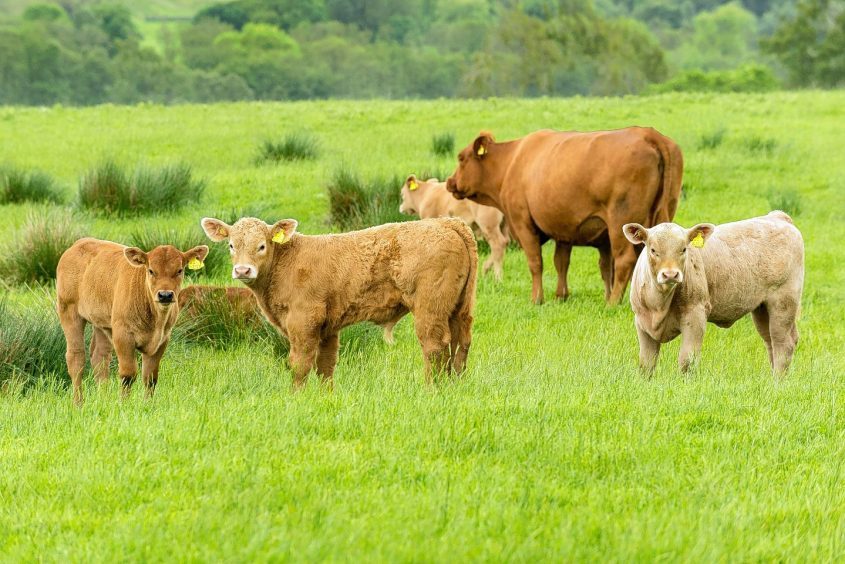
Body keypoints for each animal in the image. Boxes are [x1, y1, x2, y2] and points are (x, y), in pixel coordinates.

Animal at [56, 236, 208, 404]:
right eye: (151, 270)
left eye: (179, 270)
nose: (165, 295)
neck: (156, 320)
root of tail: (78, 243)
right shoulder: (123, 335)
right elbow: (128, 375)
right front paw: (124, 403)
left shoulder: (163, 339)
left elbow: (150, 377)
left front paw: (148, 404)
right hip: (68, 311)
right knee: (76, 358)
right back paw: (79, 402)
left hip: (101, 322)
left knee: (100, 357)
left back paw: (103, 399)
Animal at [199, 214, 474, 386]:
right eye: (231, 245)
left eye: (262, 246)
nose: (243, 270)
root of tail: (446, 222)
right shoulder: (328, 328)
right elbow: (326, 365)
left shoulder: (303, 321)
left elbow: (299, 364)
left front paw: (295, 399)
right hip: (460, 308)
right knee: (460, 343)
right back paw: (454, 386)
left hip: (430, 308)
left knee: (435, 347)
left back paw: (432, 389)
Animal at [446, 128, 684, 304]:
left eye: (461, 158)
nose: (450, 182)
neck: (512, 161)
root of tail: (648, 134)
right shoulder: (564, 229)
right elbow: (561, 262)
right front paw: (562, 295)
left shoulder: (522, 223)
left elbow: (536, 262)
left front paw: (537, 299)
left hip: (620, 222)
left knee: (624, 261)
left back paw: (613, 302)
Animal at [624, 210, 800, 374]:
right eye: (653, 250)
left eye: (684, 249)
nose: (670, 275)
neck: (659, 305)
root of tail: (777, 216)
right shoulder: (642, 324)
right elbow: (646, 364)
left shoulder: (696, 316)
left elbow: (687, 361)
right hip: (762, 309)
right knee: (770, 342)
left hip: (784, 303)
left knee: (783, 344)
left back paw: (778, 381)